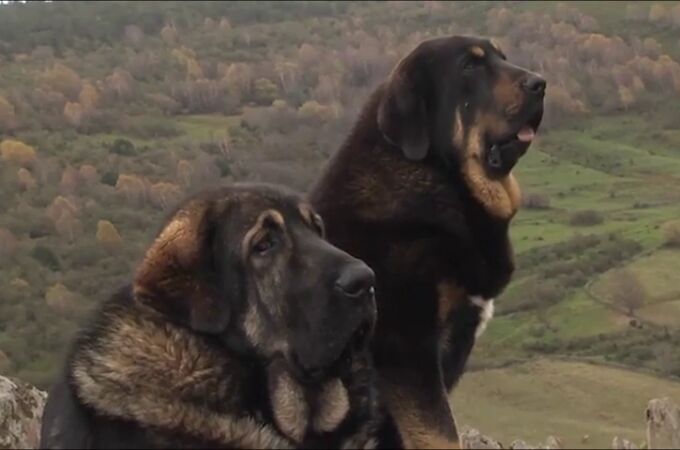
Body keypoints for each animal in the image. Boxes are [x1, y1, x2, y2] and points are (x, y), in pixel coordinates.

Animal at [312, 34, 548, 446]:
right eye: (470, 66)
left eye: (502, 57)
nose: (540, 83)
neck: (440, 178)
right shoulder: (408, 350)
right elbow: (441, 434)